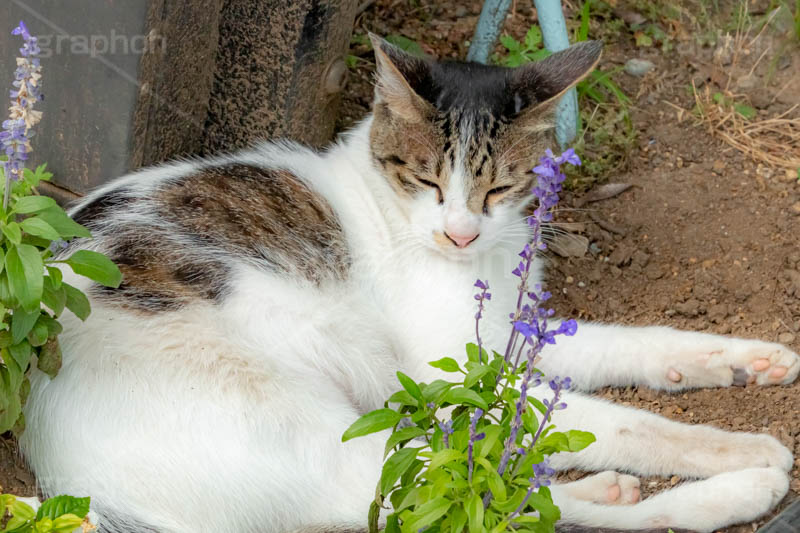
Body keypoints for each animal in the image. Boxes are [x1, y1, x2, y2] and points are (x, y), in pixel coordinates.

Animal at [15, 35, 796, 528]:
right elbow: (624, 421)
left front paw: (747, 360)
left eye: (499, 187)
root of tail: (64, 478)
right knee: (468, 504)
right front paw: (739, 445)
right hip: (326, 417)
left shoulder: (512, 336)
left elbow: (638, 343)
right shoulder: (455, 374)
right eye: (427, 181)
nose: (460, 232)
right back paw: (736, 488)